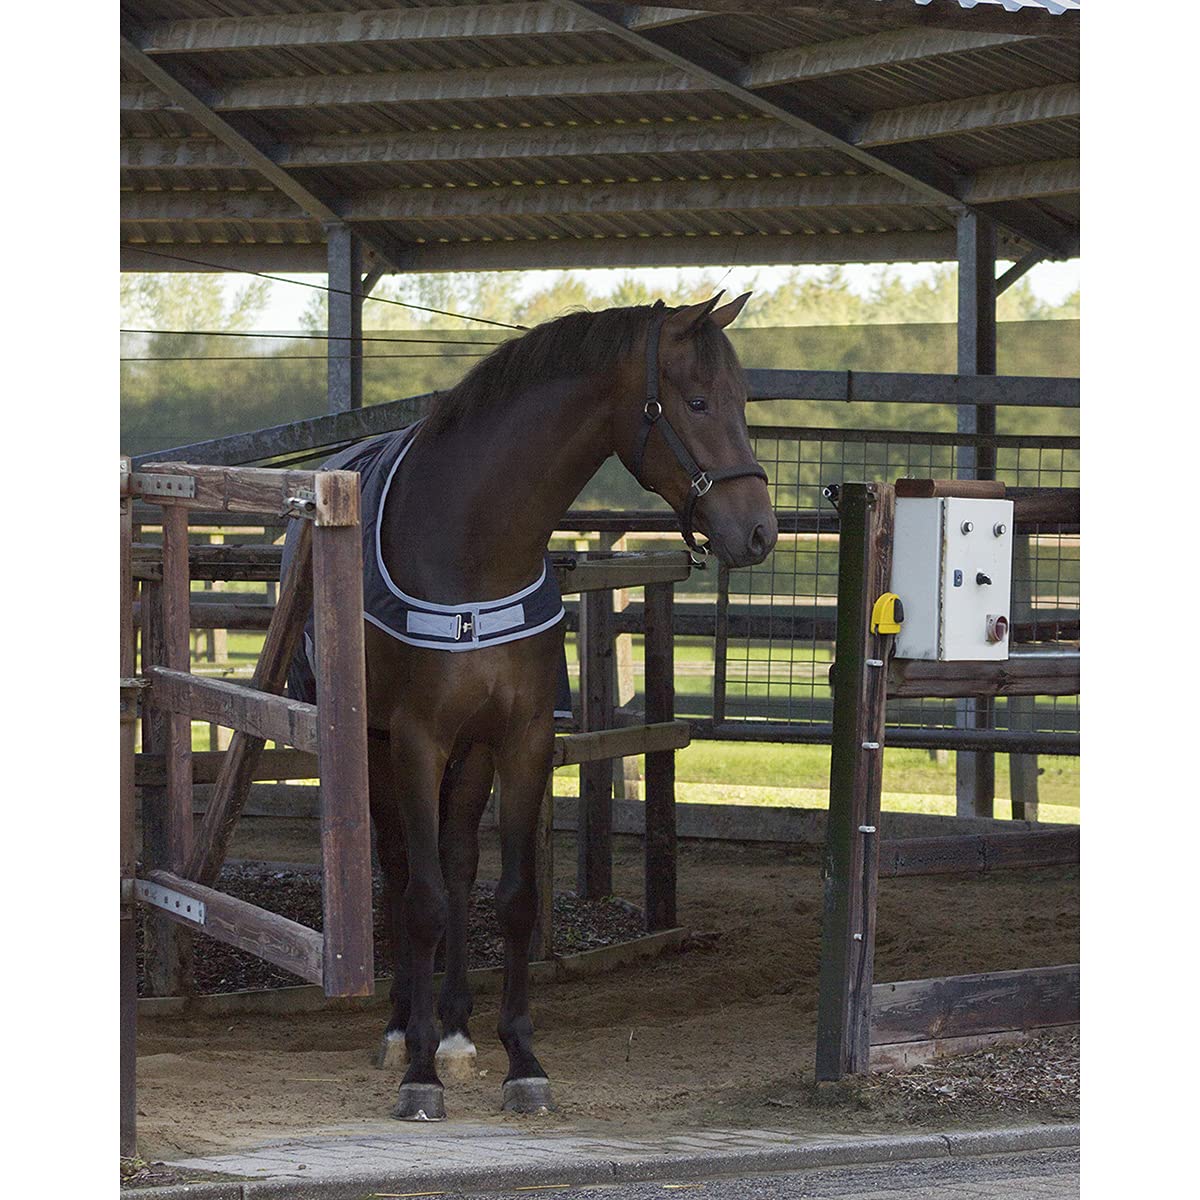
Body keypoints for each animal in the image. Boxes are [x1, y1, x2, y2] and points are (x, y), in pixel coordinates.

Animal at [294, 293, 778, 1120]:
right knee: (401, 870)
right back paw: (403, 1029)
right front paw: (417, 1074)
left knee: (458, 862)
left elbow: (514, 897)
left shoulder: (519, 739)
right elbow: (421, 898)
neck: (473, 542)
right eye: (695, 401)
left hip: (471, 753)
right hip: (379, 741)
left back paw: (455, 1032)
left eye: (743, 400)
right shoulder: (416, 738)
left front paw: (520, 1058)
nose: (759, 532)